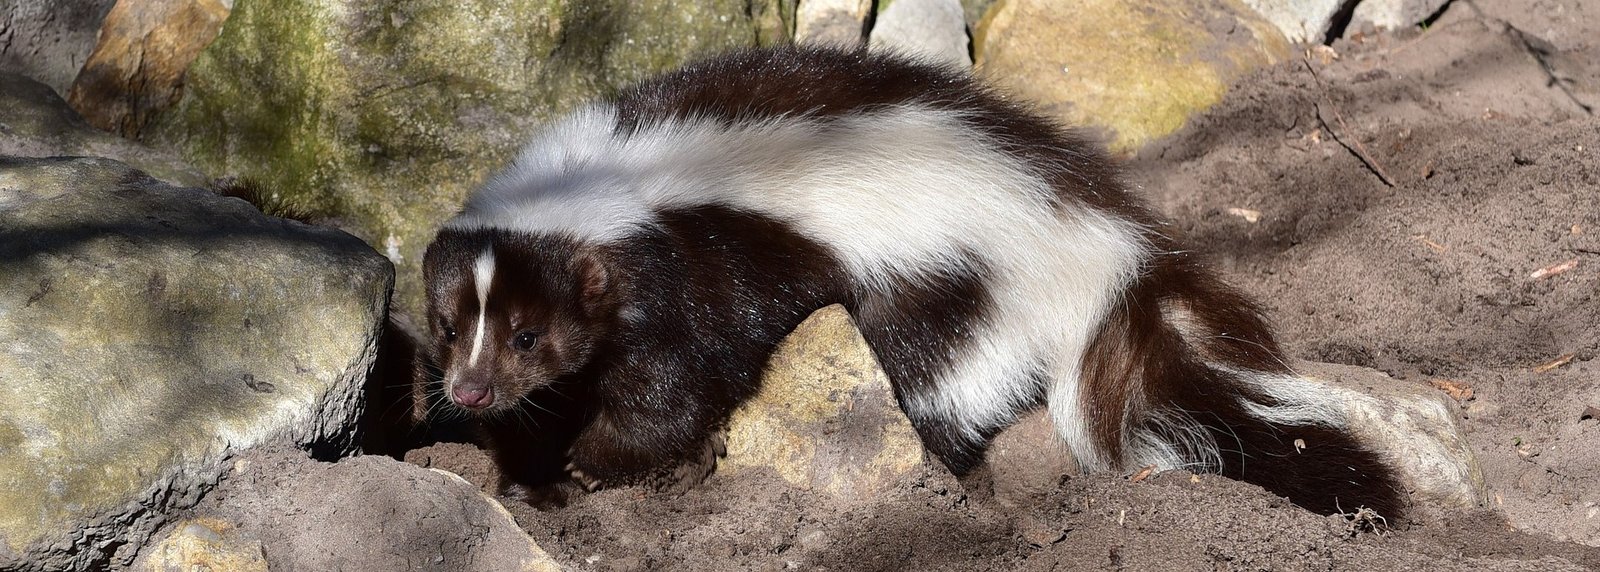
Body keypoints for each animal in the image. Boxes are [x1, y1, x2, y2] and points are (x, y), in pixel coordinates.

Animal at [422, 46, 1401, 517]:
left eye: (529, 333)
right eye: (445, 325)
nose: (467, 392)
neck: (601, 182)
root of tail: (1099, 237)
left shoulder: (701, 264)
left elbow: (678, 383)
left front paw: (601, 466)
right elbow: (562, 403)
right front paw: (535, 477)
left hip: (946, 290)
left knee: (940, 392)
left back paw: (955, 489)